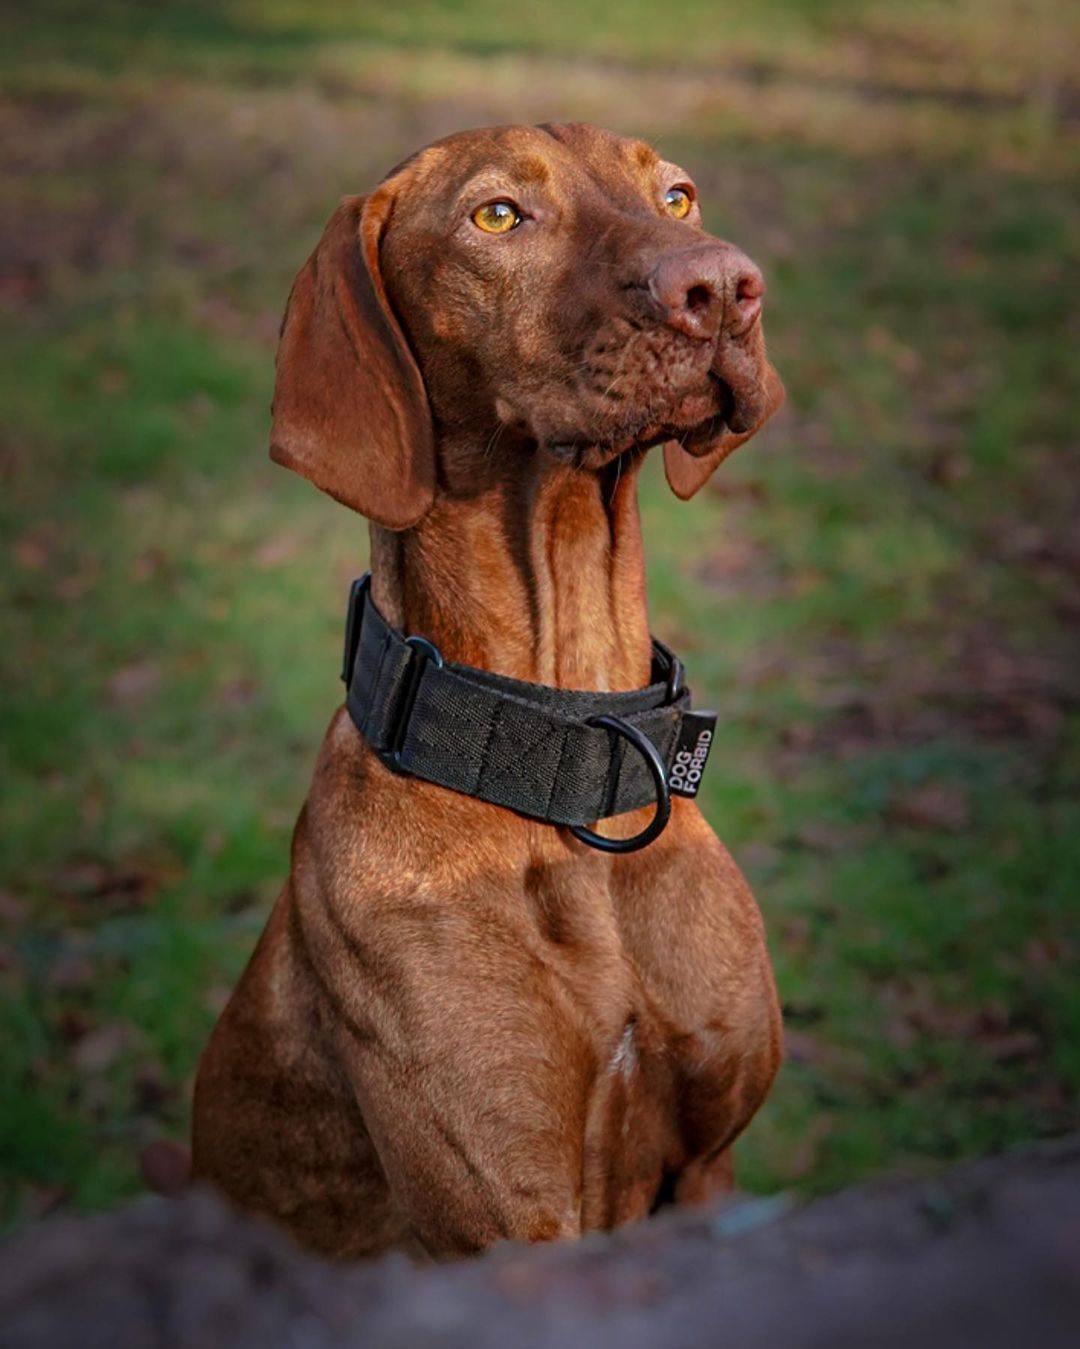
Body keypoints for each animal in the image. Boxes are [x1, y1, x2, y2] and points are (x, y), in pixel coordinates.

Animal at [194, 121, 782, 1257]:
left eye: (678, 196)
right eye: (499, 215)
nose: (725, 287)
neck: (566, 749)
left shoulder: (710, 1171)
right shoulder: (508, 1224)